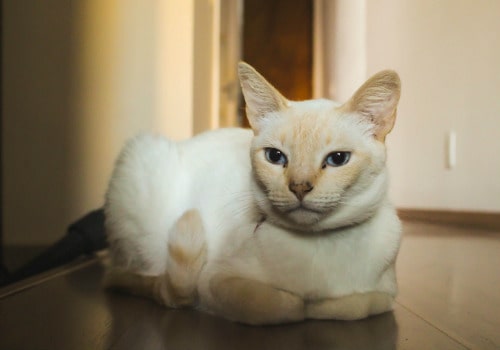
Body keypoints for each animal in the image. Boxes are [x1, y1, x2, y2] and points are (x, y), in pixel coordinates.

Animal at [102, 60, 402, 326]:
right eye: (275, 157)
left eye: (338, 159)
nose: (299, 187)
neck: (314, 247)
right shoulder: (213, 281)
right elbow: (278, 306)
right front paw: (301, 304)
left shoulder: (386, 295)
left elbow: (355, 305)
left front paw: (319, 305)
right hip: (141, 156)